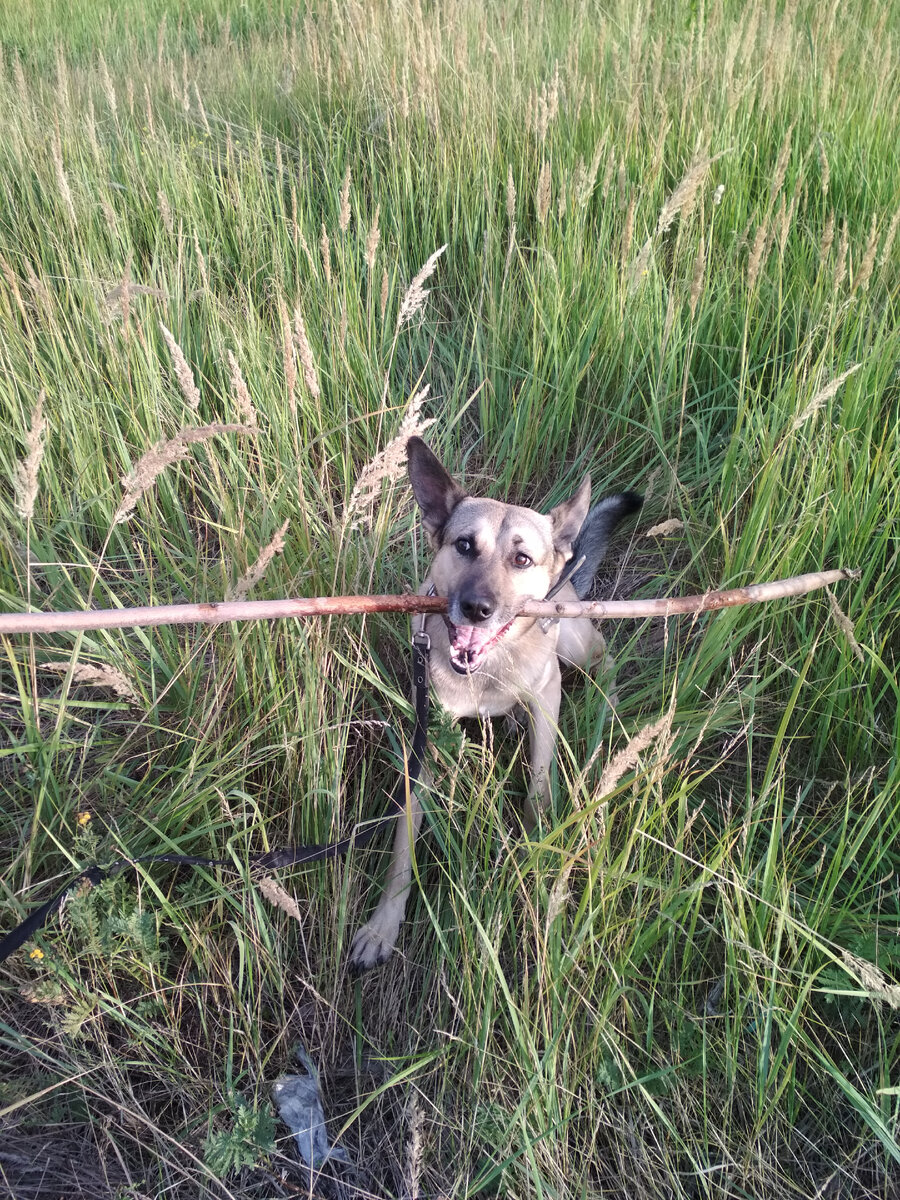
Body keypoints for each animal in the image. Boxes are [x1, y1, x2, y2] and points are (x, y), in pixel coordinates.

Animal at [348, 436, 643, 969]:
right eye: (465, 545)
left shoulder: (548, 697)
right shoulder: (427, 745)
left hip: (573, 641)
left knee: (605, 656)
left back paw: (604, 706)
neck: (487, 669)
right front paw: (383, 925)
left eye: (521, 560)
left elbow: (538, 787)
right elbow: (403, 849)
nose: (477, 608)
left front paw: (533, 862)